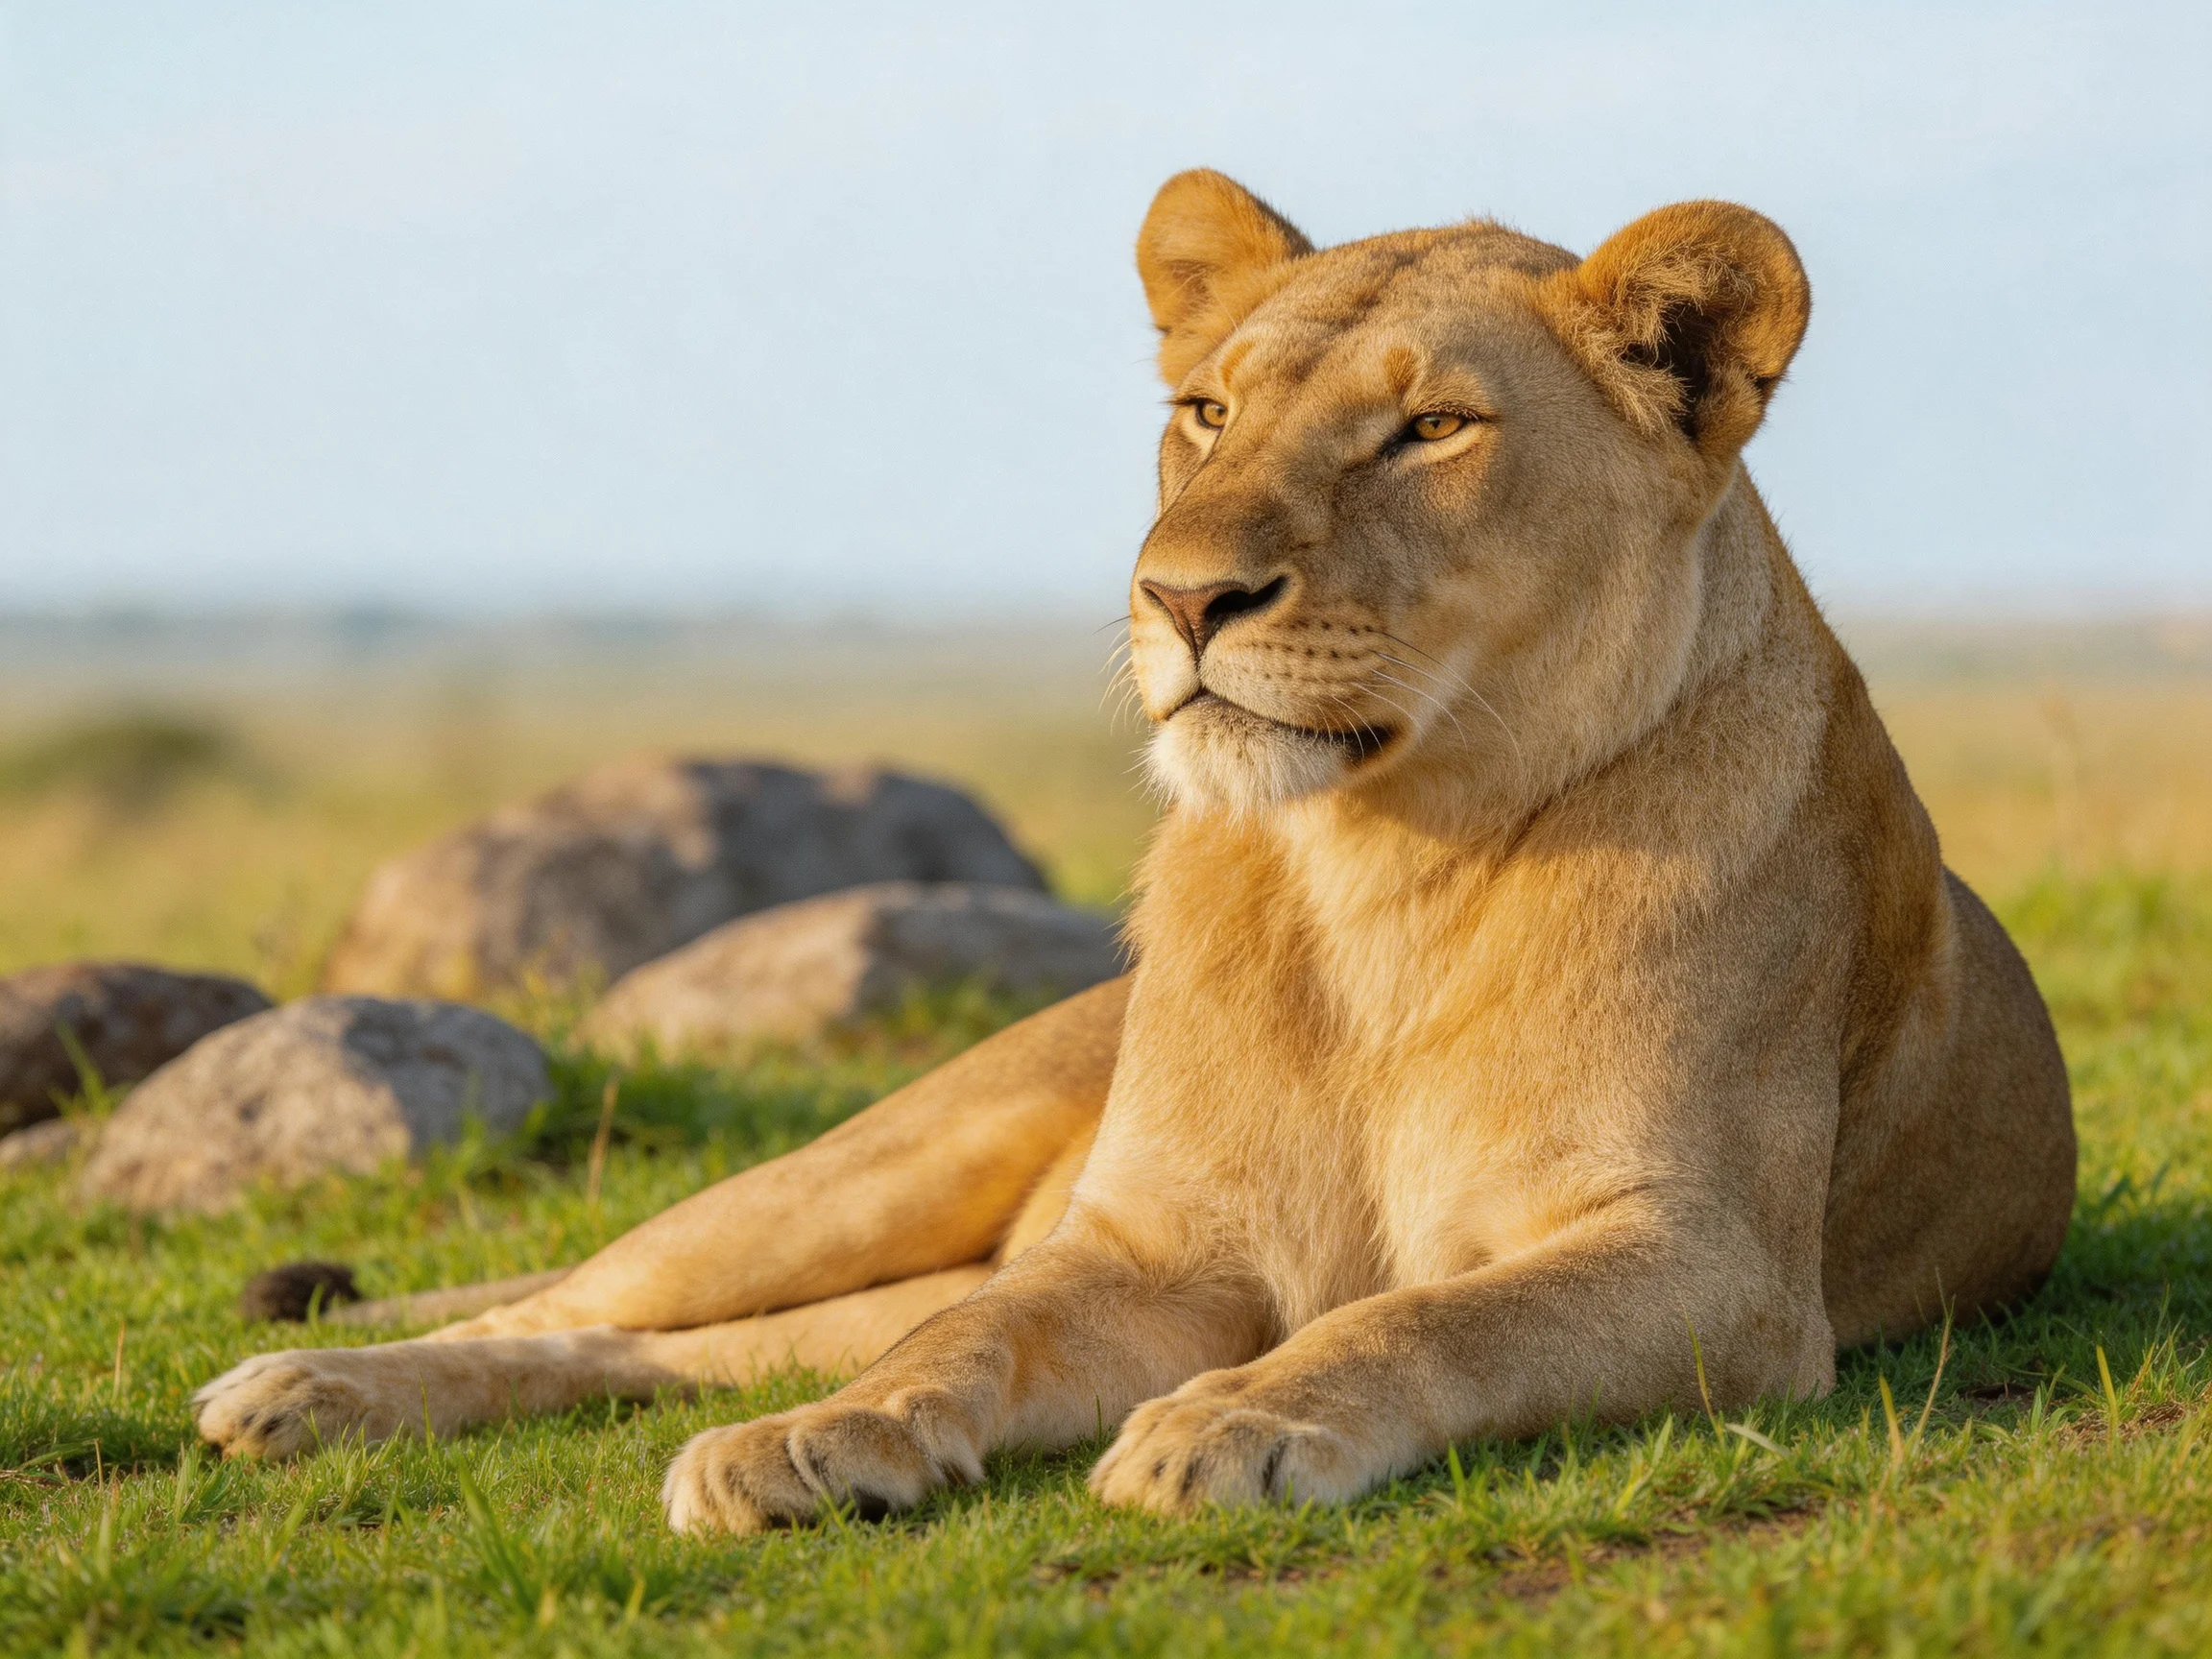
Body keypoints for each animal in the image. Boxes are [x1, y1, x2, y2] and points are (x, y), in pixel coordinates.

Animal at [193, 171, 2075, 1535]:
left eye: (1433, 430)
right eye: (1206, 410)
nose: (1182, 594)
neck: (1379, 871)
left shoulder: (1718, 1265)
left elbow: (1424, 1314)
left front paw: (1235, 1418)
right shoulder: (1155, 1249)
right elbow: (966, 1337)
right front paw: (839, 1438)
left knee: (685, 1351)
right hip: (873, 1165)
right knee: (616, 1305)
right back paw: (308, 1387)